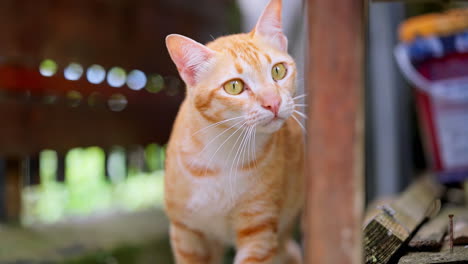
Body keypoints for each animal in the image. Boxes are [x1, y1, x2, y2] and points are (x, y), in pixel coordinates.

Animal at [165, 0, 308, 262]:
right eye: (234, 86)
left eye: (278, 71)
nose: (273, 102)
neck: (223, 152)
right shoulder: (186, 234)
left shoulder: (258, 232)